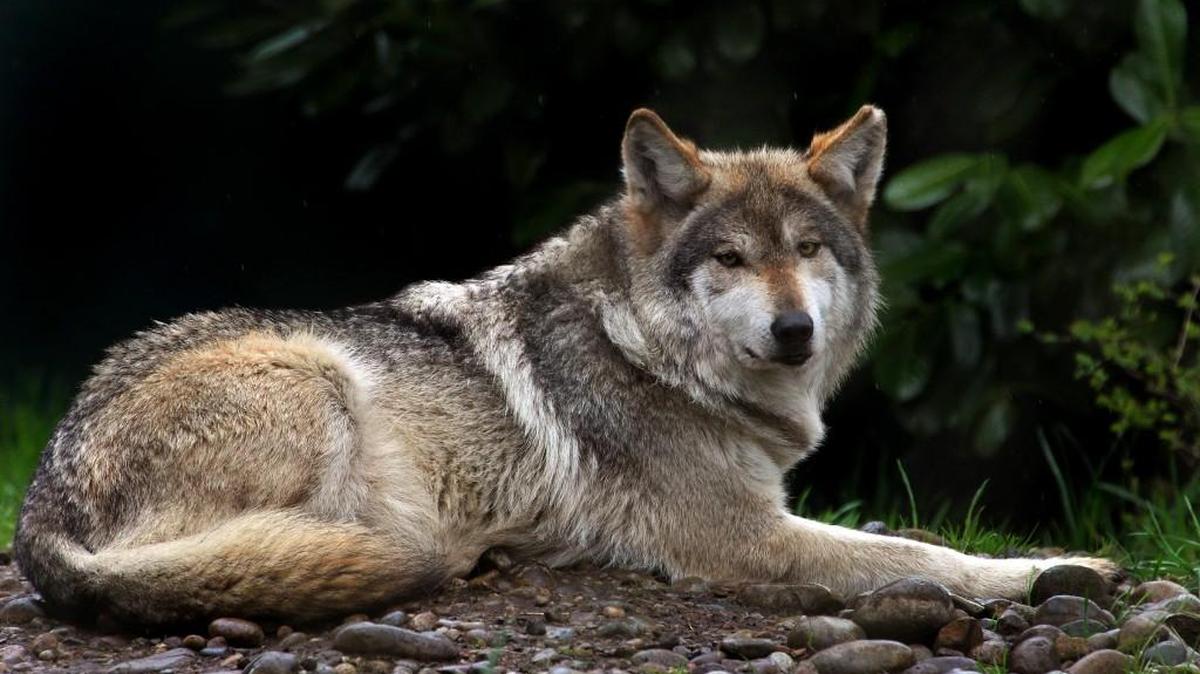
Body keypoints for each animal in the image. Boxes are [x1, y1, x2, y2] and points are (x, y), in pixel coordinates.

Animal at [14, 106, 1117, 624]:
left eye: (807, 250)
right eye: (730, 259)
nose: (795, 329)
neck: (654, 353)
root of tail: (37, 514)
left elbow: (904, 535)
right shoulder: (745, 537)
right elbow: (920, 559)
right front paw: (1056, 568)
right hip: (316, 378)